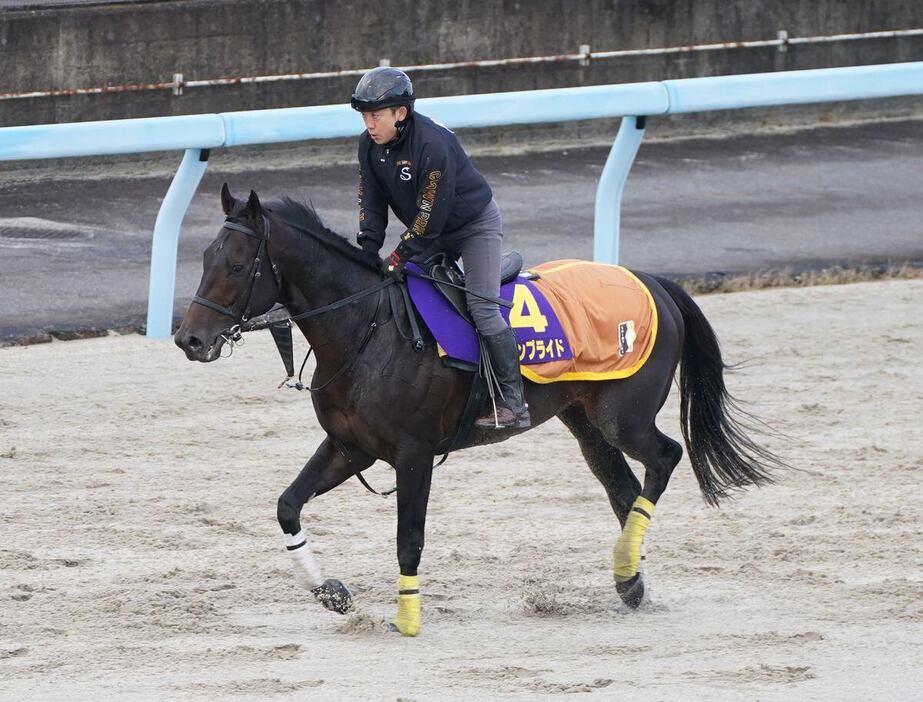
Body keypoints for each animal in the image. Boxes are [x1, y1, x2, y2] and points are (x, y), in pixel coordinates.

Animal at [175, 186, 788, 640]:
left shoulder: (414, 454)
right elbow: (288, 505)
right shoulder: (349, 448)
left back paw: (628, 570)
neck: (368, 330)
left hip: (624, 416)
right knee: (623, 489)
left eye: (236, 264)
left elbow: (409, 537)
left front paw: (407, 618)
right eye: (204, 258)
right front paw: (332, 592)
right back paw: (628, 579)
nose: (189, 339)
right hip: (585, 422)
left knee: (664, 457)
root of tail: (654, 282)